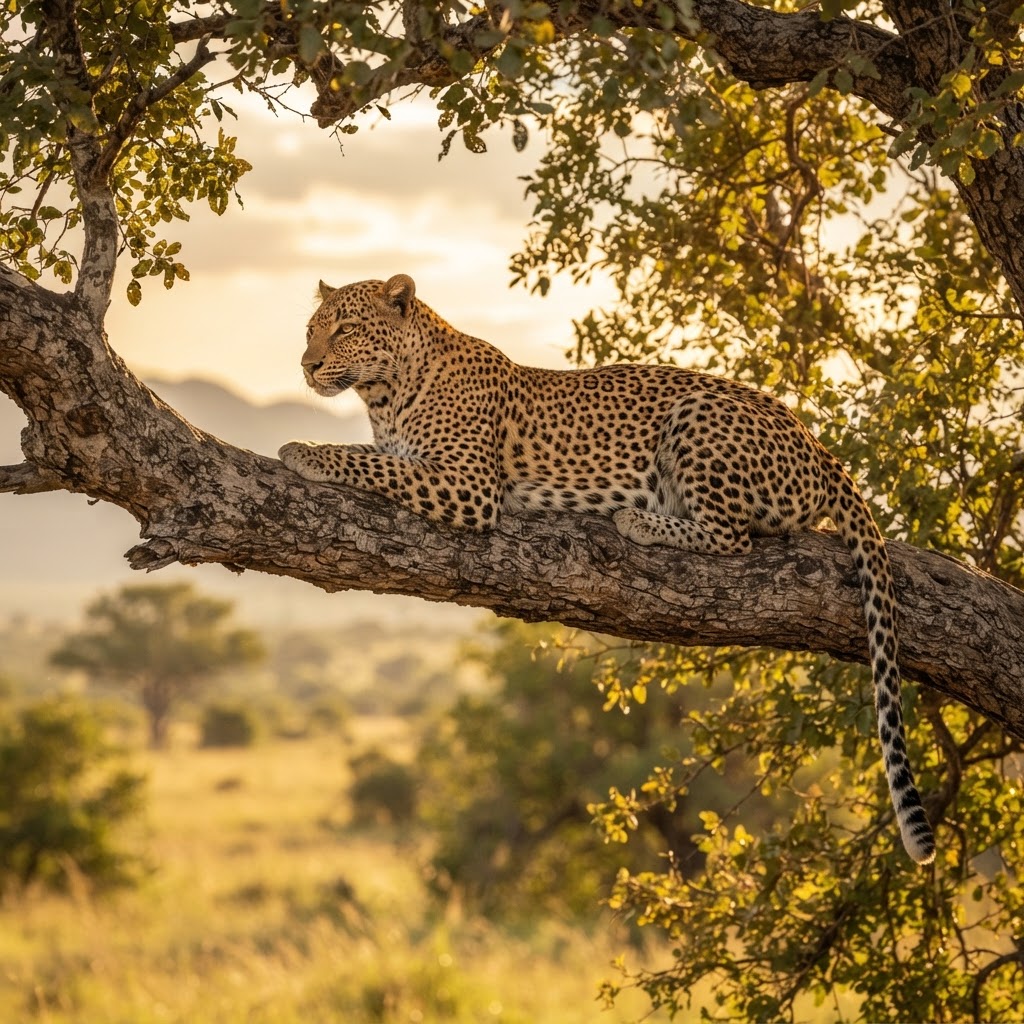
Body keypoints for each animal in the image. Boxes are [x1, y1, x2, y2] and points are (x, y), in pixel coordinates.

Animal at [279, 273, 936, 865]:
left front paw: (305, 453)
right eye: (311, 330)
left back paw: (636, 520)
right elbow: (375, 456)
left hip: (697, 416)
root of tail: (820, 446)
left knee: (732, 537)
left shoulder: (468, 486)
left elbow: (372, 464)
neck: (386, 395)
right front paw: (313, 447)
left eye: (345, 329)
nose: (308, 366)